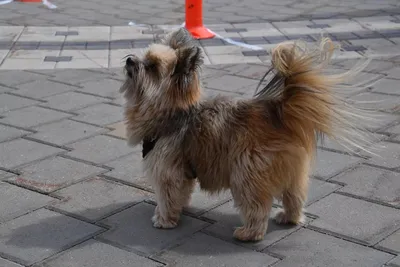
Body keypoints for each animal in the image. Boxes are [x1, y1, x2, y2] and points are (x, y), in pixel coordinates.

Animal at [118, 27, 372, 243]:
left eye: (151, 66)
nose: (130, 59)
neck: (172, 112)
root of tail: (277, 114)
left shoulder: (167, 170)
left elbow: (168, 196)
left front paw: (164, 219)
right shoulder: (183, 171)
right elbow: (181, 193)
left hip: (246, 174)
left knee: (257, 208)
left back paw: (248, 233)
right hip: (293, 173)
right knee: (294, 197)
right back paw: (289, 217)